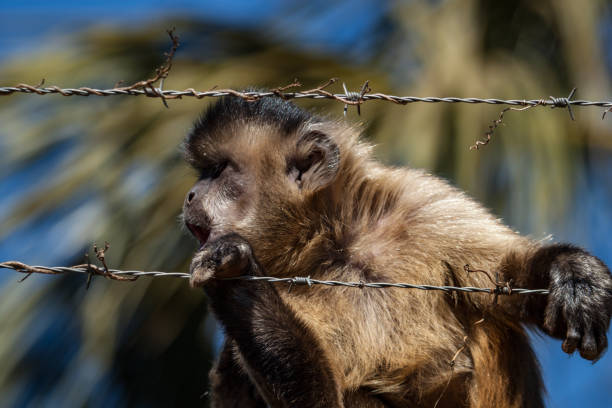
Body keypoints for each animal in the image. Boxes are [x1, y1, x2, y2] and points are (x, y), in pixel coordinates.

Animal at [183, 95, 612, 408]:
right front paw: (234, 276)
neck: (337, 241)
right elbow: (323, 399)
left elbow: (509, 276)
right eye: (204, 174)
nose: (190, 194)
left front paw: (574, 275)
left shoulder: (419, 202)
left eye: (218, 172)